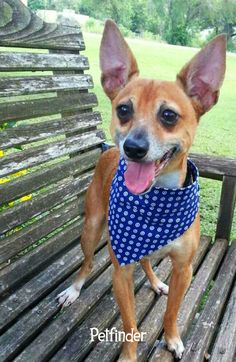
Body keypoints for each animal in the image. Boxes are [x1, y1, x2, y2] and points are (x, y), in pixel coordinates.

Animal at [57, 21, 227, 360]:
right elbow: (131, 324)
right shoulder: (121, 272)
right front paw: (129, 355)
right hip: (91, 227)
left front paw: (172, 338)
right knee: (87, 261)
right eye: (123, 109)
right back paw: (75, 288)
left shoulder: (184, 269)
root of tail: (107, 150)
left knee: (147, 261)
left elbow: (172, 311)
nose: (133, 148)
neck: (157, 203)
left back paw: (155, 281)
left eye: (169, 115)